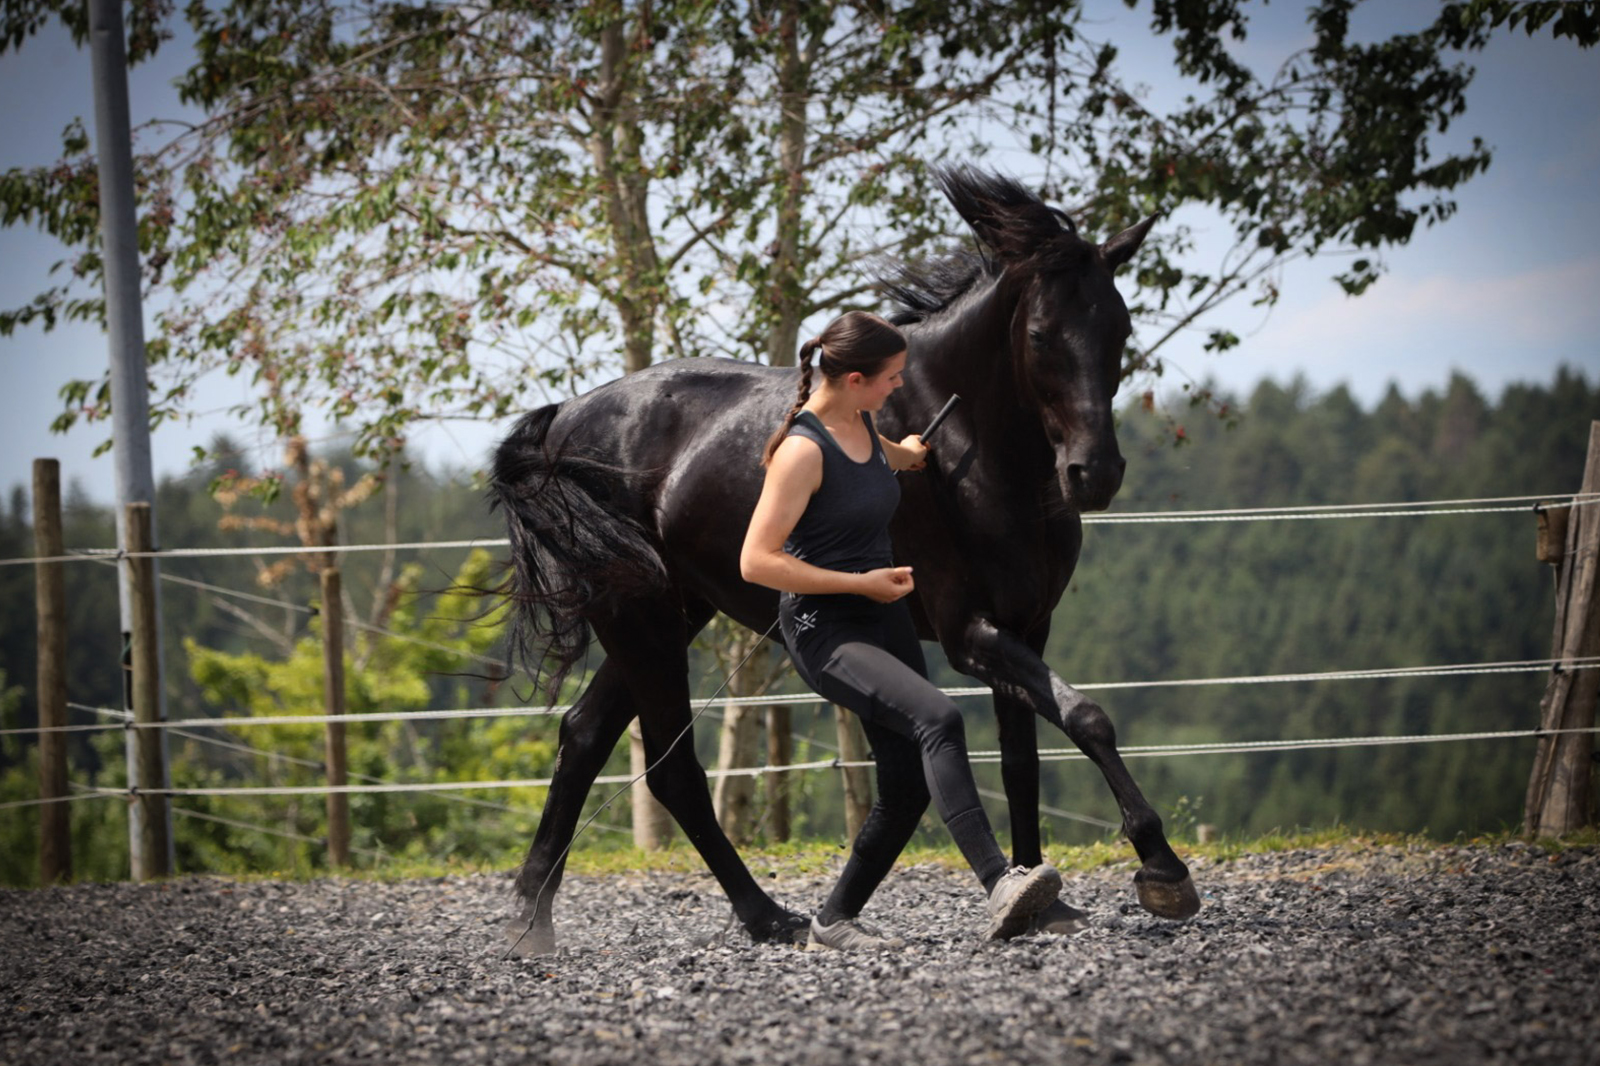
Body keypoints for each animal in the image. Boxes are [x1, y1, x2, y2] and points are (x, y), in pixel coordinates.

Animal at [490, 167, 1200, 955]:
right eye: (1042, 335)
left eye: (1120, 328)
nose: (1093, 474)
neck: (976, 453)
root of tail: (564, 419)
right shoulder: (970, 634)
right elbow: (1088, 718)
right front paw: (1162, 870)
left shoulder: (1026, 625)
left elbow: (1024, 762)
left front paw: (1045, 896)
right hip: (637, 617)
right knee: (671, 769)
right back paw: (766, 916)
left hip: (668, 612)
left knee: (584, 737)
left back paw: (533, 915)